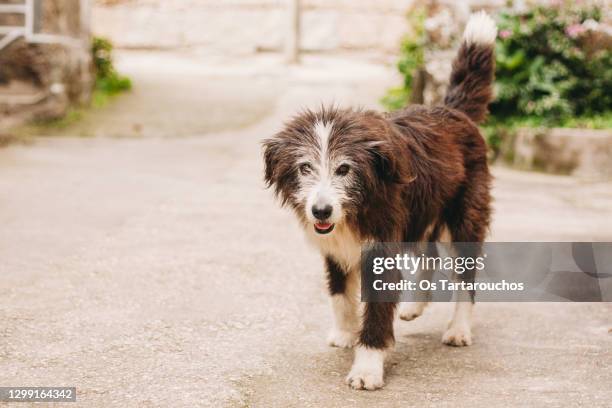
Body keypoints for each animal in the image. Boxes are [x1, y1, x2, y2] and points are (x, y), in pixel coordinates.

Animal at [262, 11, 498, 390]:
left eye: (344, 168)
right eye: (304, 167)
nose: (321, 210)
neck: (358, 205)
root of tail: (453, 112)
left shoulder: (380, 247)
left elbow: (375, 311)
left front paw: (367, 367)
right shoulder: (336, 247)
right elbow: (339, 294)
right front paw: (345, 333)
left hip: (463, 217)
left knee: (465, 275)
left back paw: (459, 329)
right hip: (419, 215)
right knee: (428, 253)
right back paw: (415, 307)